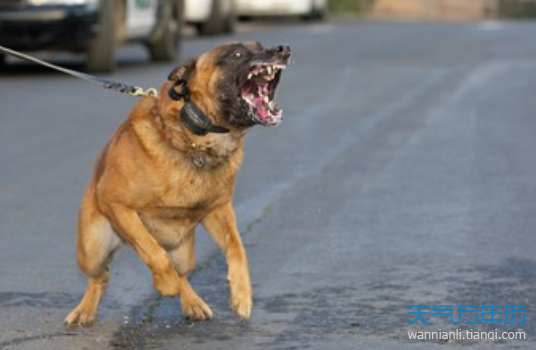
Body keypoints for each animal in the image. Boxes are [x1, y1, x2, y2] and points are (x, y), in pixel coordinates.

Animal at [64, 42, 292, 326]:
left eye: (260, 46)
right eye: (236, 54)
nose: (283, 49)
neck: (194, 139)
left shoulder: (219, 211)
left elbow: (237, 249)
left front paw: (242, 294)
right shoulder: (116, 203)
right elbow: (152, 252)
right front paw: (165, 284)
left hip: (184, 255)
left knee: (181, 273)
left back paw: (193, 303)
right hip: (92, 250)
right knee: (102, 275)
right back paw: (84, 310)